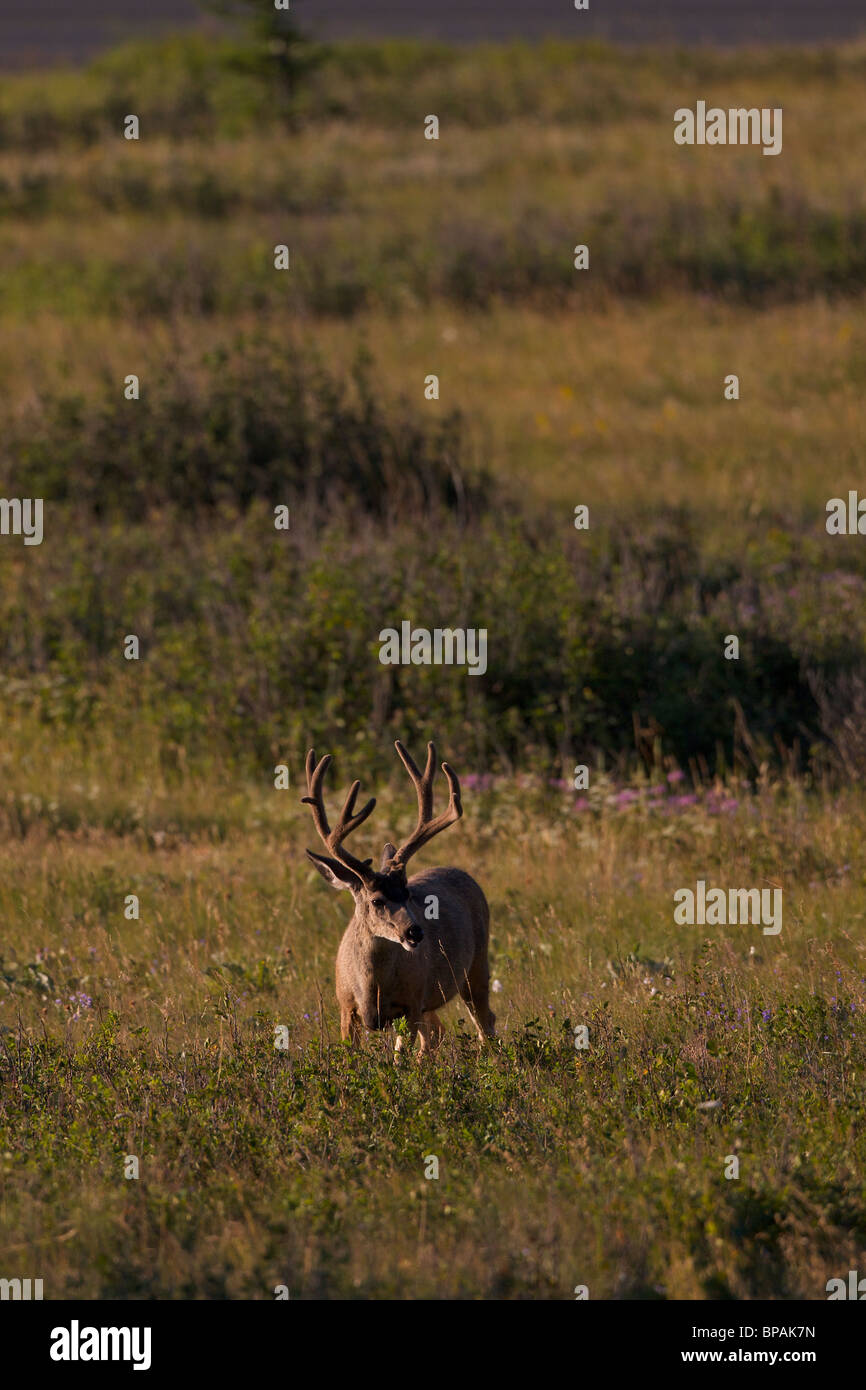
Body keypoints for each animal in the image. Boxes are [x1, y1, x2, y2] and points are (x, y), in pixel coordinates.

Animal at [303, 739, 494, 1050]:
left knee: (484, 1022)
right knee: (440, 1033)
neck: (372, 990)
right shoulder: (345, 1006)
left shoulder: (412, 1003)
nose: (415, 932)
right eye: (376, 900)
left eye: (407, 894)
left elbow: (402, 1054)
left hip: (476, 965)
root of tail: (461, 872)